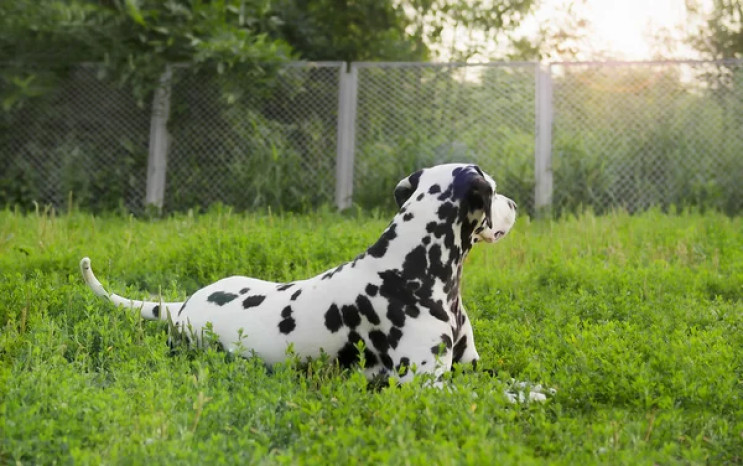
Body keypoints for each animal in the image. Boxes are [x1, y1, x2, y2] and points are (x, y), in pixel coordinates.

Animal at [81, 164, 548, 400]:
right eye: (493, 189)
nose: (514, 204)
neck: (413, 269)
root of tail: (181, 307)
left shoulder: (469, 369)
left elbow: (505, 381)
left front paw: (534, 387)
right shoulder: (422, 384)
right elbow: (486, 397)